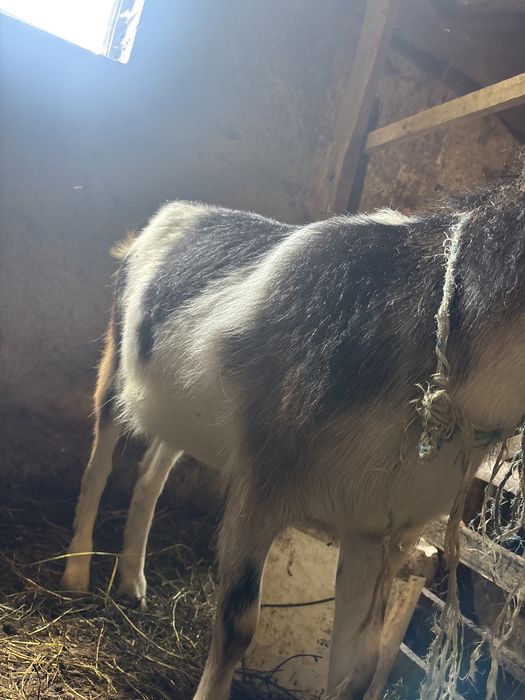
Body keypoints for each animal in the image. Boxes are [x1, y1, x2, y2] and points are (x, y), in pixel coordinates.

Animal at [61, 178, 525, 700]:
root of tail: (171, 213)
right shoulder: (261, 486)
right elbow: (238, 623)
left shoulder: (378, 530)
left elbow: (359, 666)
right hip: (115, 364)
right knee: (98, 465)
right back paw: (76, 572)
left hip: (179, 411)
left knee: (150, 475)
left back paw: (132, 583)